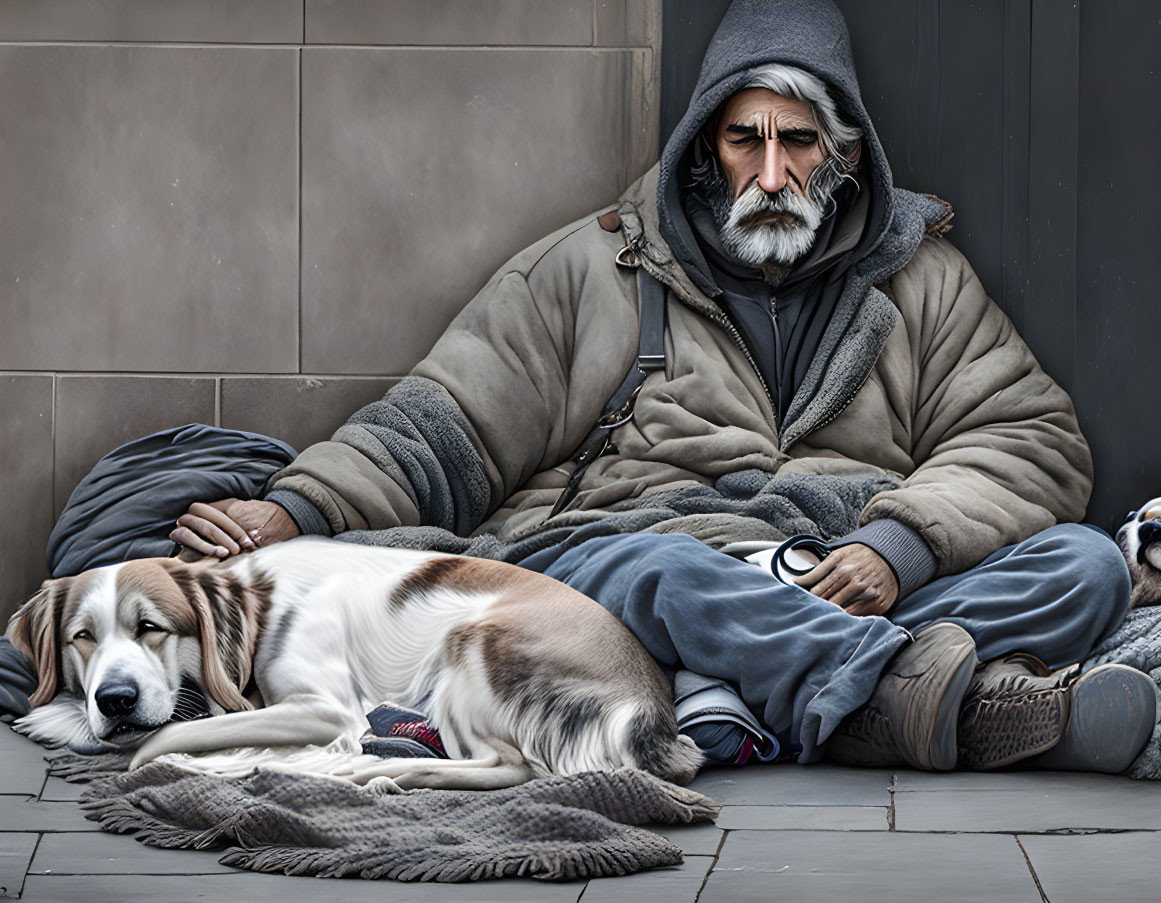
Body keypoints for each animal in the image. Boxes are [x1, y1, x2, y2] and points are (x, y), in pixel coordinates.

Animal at [6, 538, 696, 784]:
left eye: (150, 628)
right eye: (82, 638)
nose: (115, 700)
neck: (263, 608)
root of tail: (650, 701)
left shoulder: (325, 710)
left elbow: (168, 735)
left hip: (468, 645)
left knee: (510, 767)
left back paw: (377, 772)